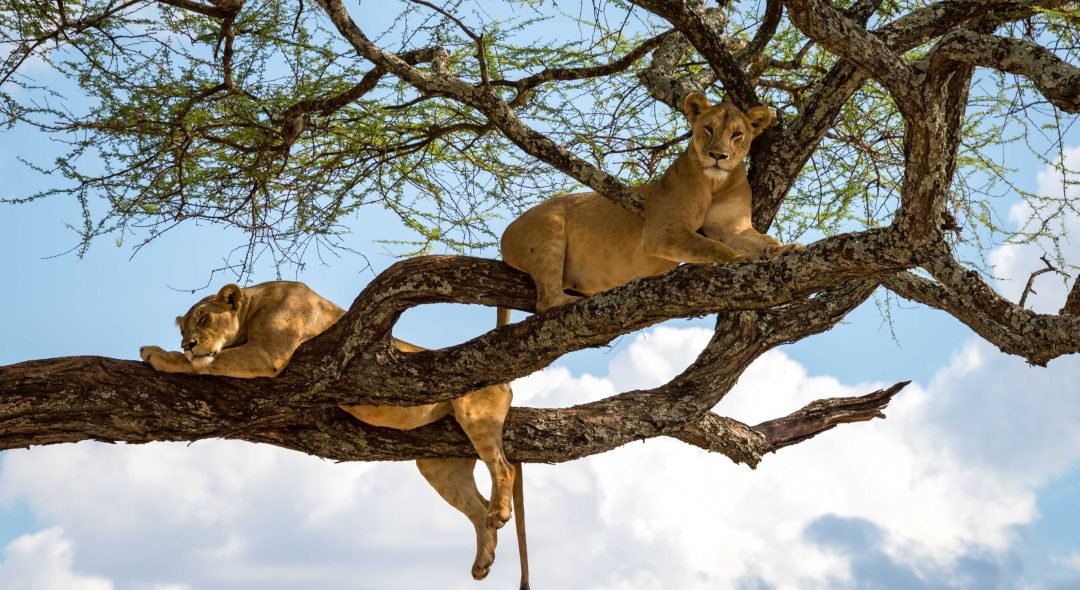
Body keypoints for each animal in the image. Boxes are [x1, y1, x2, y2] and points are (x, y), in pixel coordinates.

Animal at [139, 281, 529, 588]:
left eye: (204, 319)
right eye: (183, 328)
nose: (188, 343)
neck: (254, 306)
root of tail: (507, 382)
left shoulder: (268, 355)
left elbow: (211, 362)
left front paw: (161, 355)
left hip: (476, 416)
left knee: (504, 468)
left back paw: (499, 514)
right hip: (439, 465)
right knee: (476, 507)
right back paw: (482, 561)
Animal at [501, 92, 799, 312]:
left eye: (737, 135)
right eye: (708, 129)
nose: (718, 156)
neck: (716, 183)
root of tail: (506, 233)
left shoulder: (732, 227)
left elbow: (762, 240)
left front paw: (786, 248)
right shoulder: (662, 231)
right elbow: (710, 245)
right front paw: (739, 258)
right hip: (548, 230)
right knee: (546, 302)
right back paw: (570, 301)